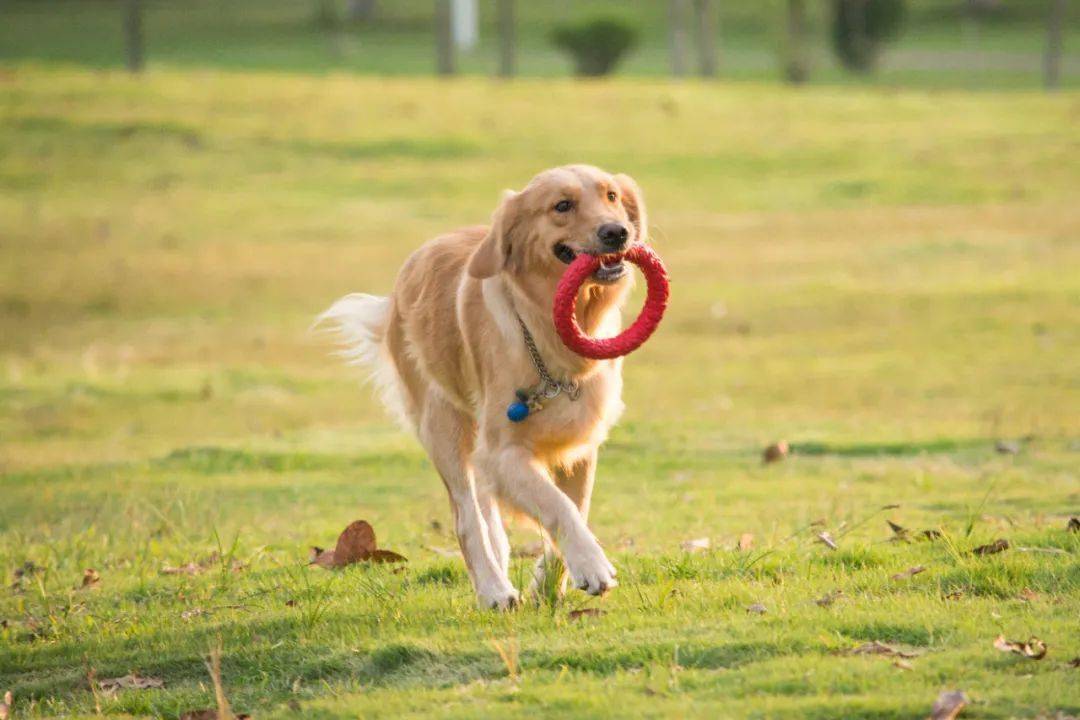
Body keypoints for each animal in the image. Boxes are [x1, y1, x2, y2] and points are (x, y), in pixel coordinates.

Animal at [315, 162, 643, 608]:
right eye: (562, 205)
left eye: (611, 196)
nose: (617, 232)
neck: (548, 331)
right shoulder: (503, 452)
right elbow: (557, 506)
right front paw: (591, 566)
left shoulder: (577, 445)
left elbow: (576, 506)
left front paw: (548, 585)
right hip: (443, 426)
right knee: (467, 518)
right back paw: (493, 589)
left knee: (489, 518)